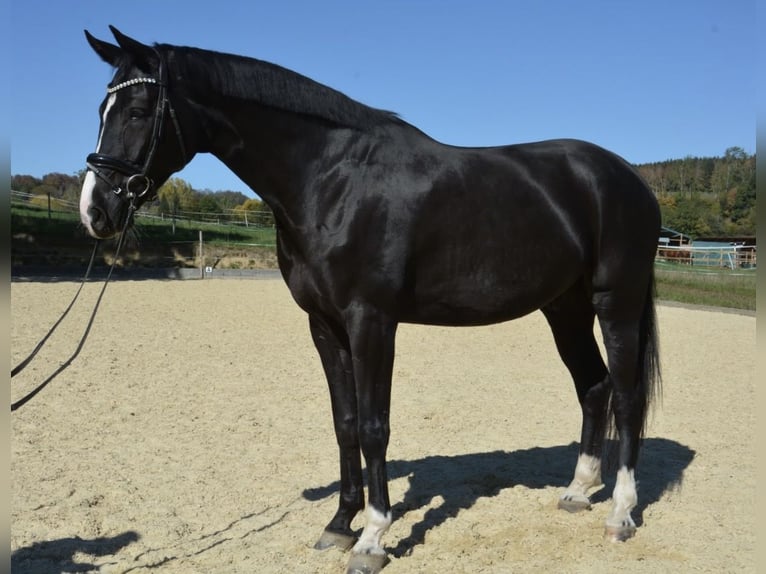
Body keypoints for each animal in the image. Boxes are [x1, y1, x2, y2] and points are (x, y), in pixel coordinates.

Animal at [80, 26, 661, 574]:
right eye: (101, 110)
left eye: (137, 111)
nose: (96, 210)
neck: (332, 180)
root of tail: (627, 178)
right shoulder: (324, 324)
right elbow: (345, 423)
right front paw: (339, 524)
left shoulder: (372, 322)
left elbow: (374, 426)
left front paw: (373, 538)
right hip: (564, 308)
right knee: (593, 386)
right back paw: (578, 492)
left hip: (616, 302)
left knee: (627, 396)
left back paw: (620, 514)